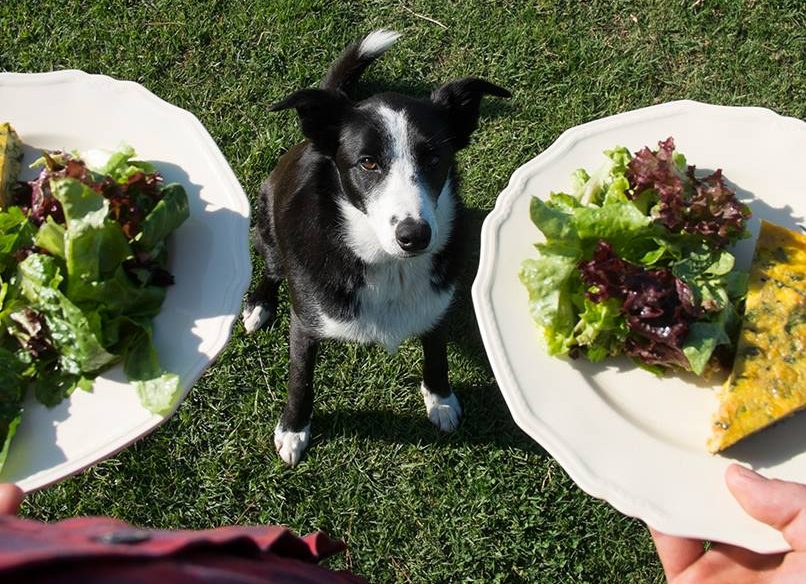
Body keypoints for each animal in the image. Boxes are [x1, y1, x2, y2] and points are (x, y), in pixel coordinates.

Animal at [243, 30, 516, 466]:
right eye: (368, 162)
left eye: (434, 158)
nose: (414, 236)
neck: (388, 265)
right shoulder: (304, 324)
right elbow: (301, 378)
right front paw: (293, 429)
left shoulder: (435, 305)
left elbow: (436, 352)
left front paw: (440, 398)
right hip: (266, 226)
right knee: (270, 269)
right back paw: (258, 305)